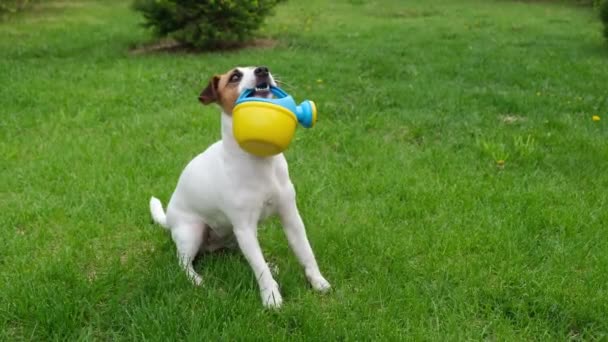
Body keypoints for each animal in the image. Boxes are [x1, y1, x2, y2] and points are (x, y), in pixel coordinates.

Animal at [150, 65, 332, 308]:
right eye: (234, 76)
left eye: (259, 67)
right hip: (193, 231)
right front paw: (271, 296)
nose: (263, 70)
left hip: (234, 235)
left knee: (245, 255)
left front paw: (318, 281)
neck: (261, 163)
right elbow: (260, 269)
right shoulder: (245, 226)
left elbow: (305, 252)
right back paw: (195, 278)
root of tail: (169, 219)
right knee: (184, 262)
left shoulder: (291, 217)